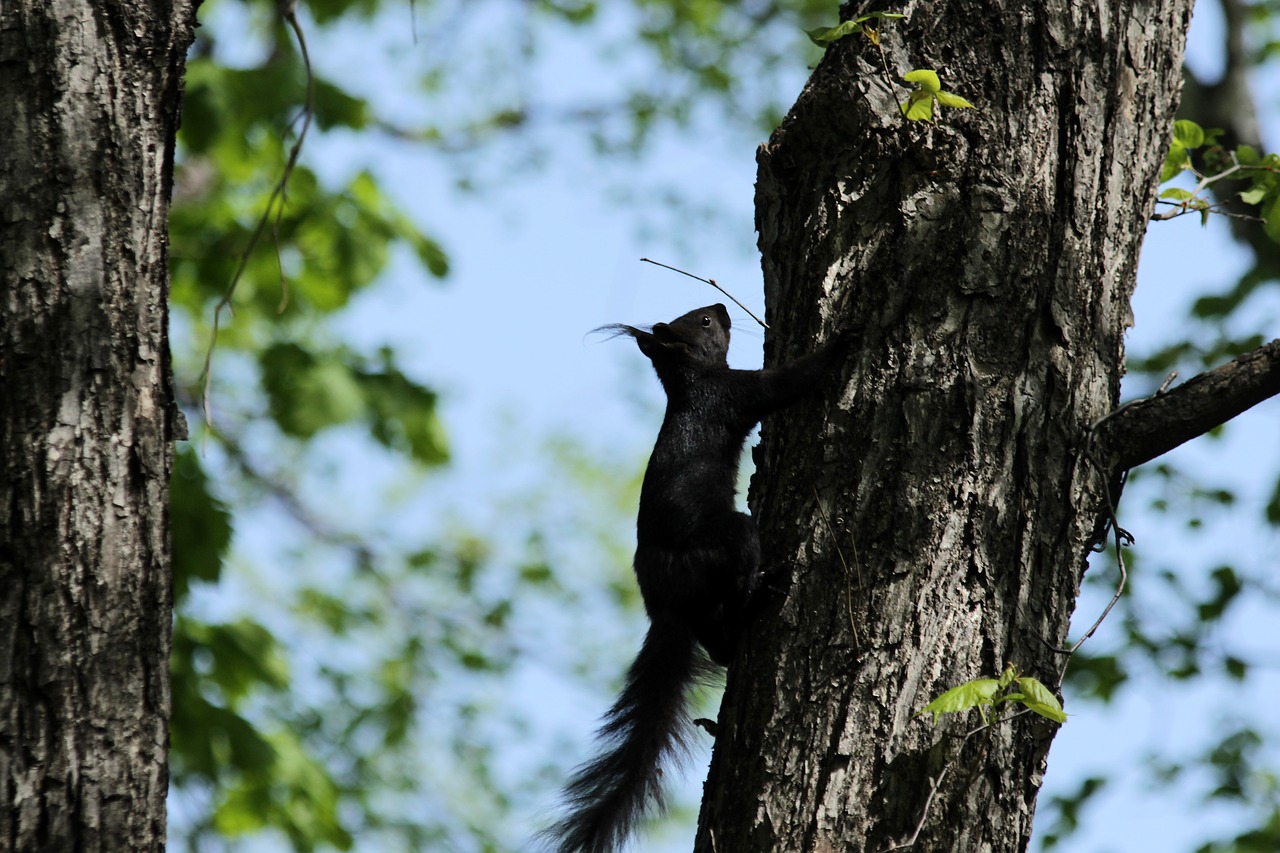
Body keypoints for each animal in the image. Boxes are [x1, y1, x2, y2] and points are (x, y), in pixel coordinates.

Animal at [540, 302, 849, 845]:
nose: (722, 308)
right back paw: (761, 595)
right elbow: (788, 382)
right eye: (702, 321)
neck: (690, 382)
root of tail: (665, 604)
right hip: (727, 542)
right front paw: (844, 339)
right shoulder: (737, 393)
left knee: (718, 645)